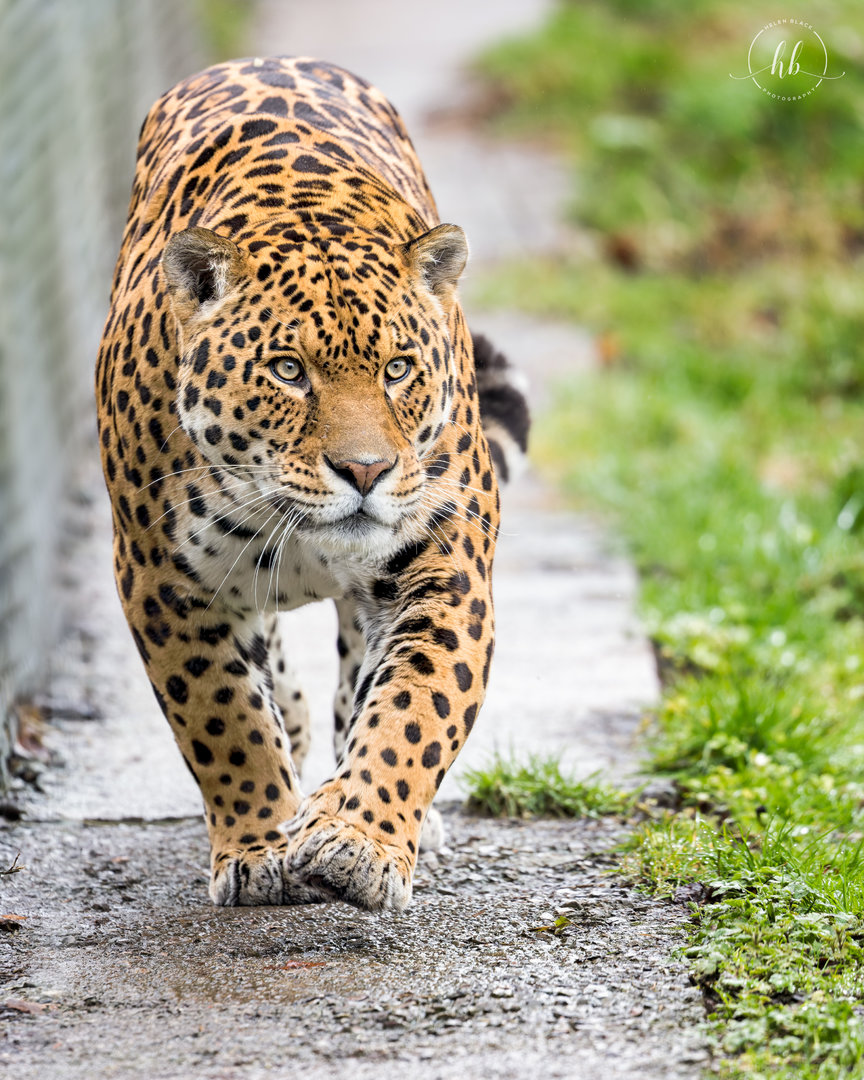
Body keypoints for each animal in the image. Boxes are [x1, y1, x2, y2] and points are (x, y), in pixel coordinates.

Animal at [95, 56, 529, 913]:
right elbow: (221, 714)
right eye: (289, 372)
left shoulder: (447, 562)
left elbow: (415, 703)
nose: (365, 470)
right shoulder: (160, 579)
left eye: (398, 369)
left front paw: (359, 839)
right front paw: (260, 844)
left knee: (357, 676)